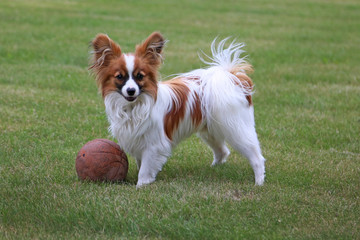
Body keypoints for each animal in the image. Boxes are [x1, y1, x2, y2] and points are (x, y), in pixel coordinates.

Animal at [89, 31, 266, 187]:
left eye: (140, 76)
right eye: (119, 77)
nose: (131, 90)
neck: (134, 107)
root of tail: (232, 76)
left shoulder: (154, 144)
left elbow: (145, 169)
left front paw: (141, 185)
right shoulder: (137, 139)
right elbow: (141, 164)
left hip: (235, 128)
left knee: (256, 157)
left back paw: (259, 182)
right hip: (211, 130)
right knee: (222, 151)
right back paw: (213, 169)